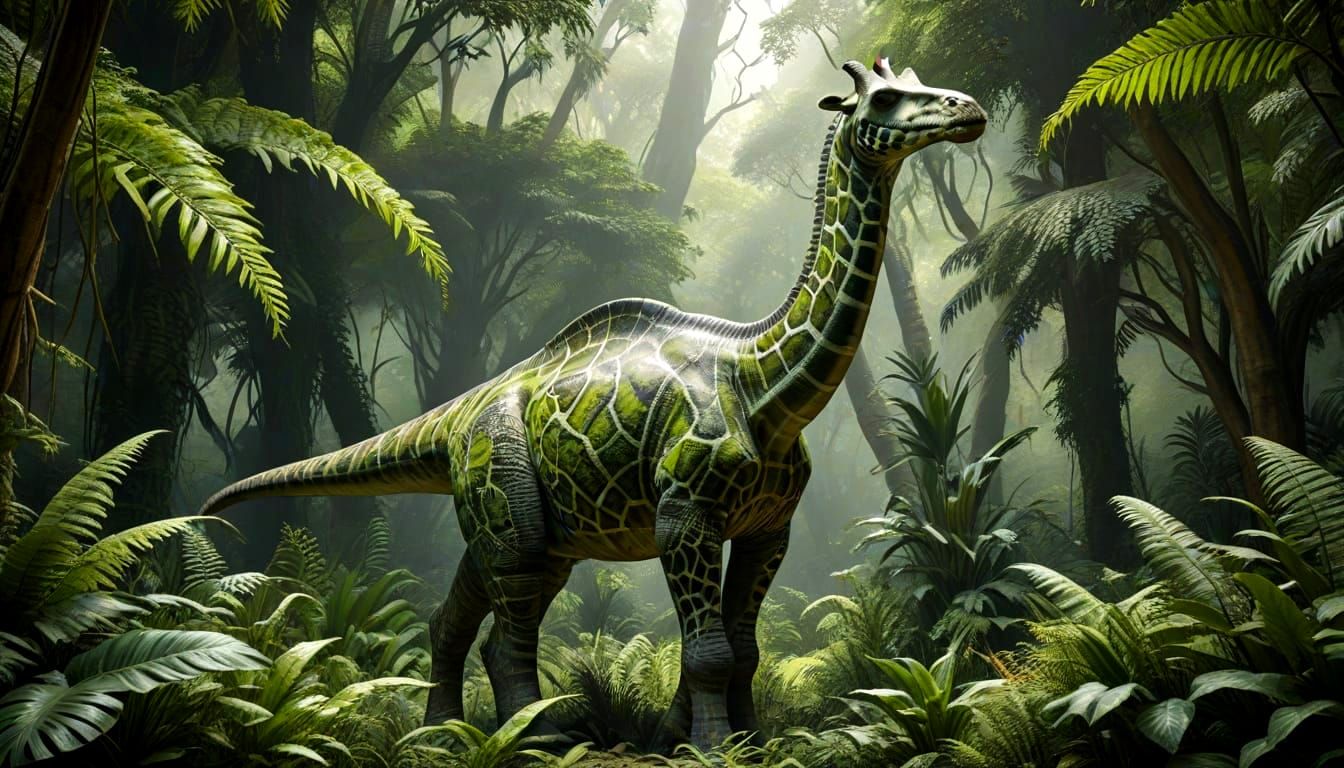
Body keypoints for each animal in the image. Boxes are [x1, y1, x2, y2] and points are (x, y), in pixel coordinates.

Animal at [200, 59, 986, 748]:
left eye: (919, 84)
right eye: (885, 99)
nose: (968, 110)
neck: (769, 390)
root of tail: (460, 413)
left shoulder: (770, 526)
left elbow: (743, 647)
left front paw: (736, 740)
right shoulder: (684, 510)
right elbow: (709, 652)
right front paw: (710, 747)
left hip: (524, 522)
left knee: (458, 614)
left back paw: (443, 732)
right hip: (507, 494)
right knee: (506, 634)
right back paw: (533, 737)